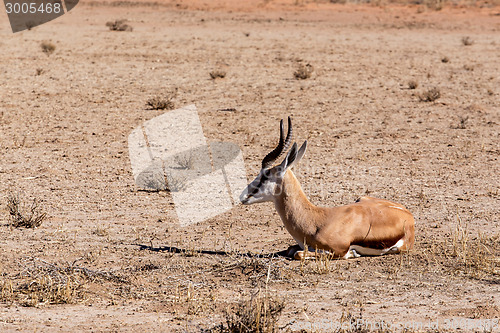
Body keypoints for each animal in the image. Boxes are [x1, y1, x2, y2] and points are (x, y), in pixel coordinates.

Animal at [238, 116, 414, 260]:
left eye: (266, 174)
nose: (243, 196)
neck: (315, 220)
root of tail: (408, 215)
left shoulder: (337, 250)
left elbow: (298, 254)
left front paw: (353, 253)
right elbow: (291, 249)